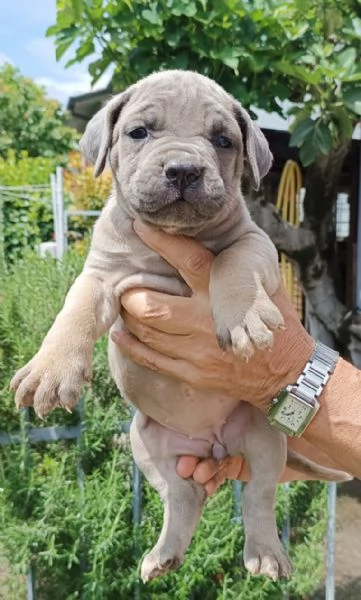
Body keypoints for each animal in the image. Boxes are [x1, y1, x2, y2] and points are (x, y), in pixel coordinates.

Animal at [11, 69, 348, 580]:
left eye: (224, 140)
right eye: (138, 133)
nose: (184, 170)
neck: (173, 238)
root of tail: (213, 445)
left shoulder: (257, 243)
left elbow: (232, 260)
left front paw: (243, 316)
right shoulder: (102, 274)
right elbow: (75, 309)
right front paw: (51, 369)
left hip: (262, 436)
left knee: (259, 496)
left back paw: (266, 554)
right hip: (147, 441)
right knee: (183, 496)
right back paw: (164, 555)